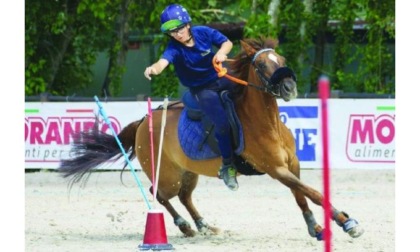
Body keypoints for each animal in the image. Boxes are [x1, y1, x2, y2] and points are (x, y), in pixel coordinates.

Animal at [60, 37, 364, 240]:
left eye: (282, 61)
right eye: (261, 64)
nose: (289, 87)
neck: (266, 123)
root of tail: (143, 122)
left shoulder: (292, 166)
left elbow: (302, 194)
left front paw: (315, 227)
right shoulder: (275, 169)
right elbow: (313, 192)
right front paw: (346, 222)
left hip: (188, 171)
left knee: (184, 196)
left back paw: (204, 225)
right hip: (167, 173)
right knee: (159, 194)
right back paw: (184, 226)